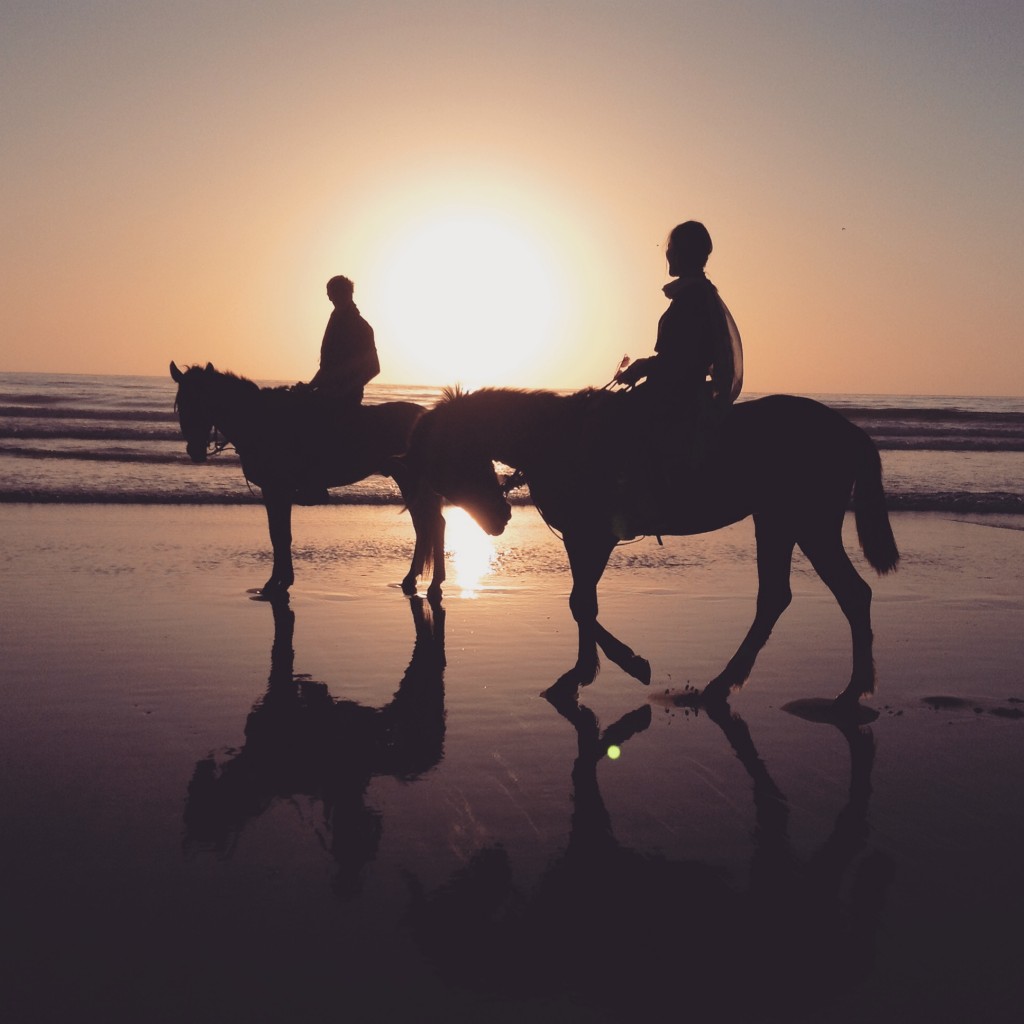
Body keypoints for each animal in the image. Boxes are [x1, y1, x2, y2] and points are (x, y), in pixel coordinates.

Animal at [171, 362, 444, 598]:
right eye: (181, 405)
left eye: (201, 401)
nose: (195, 451)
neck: (261, 420)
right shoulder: (273, 491)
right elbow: (278, 534)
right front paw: (278, 581)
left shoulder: (277, 489)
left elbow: (281, 536)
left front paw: (276, 583)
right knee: (426, 524)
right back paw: (412, 580)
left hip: (410, 480)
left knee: (431, 524)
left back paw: (432, 584)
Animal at [407, 387, 897, 708]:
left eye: (454, 462)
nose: (498, 520)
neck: (560, 437)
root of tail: (848, 431)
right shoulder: (581, 539)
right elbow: (582, 603)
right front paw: (585, 673)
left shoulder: (596, 536)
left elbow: (582, 604)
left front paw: (621, 665)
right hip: (778, 521)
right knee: (786, 597)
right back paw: (730, 683)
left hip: (806, 523)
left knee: (846, 594)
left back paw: (848, 691)